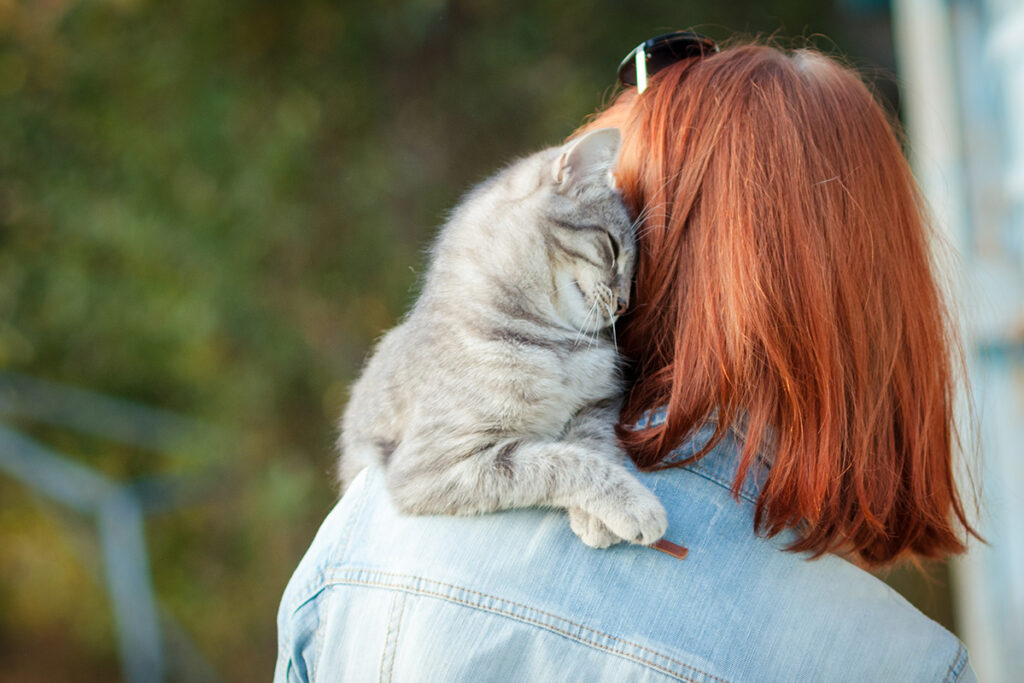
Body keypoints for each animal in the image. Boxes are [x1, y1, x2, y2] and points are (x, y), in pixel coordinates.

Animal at [339, 126, 667, 544]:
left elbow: (591, 442)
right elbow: (559, 461)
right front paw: (633, 506)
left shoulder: (601, 401)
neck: (554, 343)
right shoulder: (432, 468)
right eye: (612, 247)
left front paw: (596, 518)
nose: (624, 304)